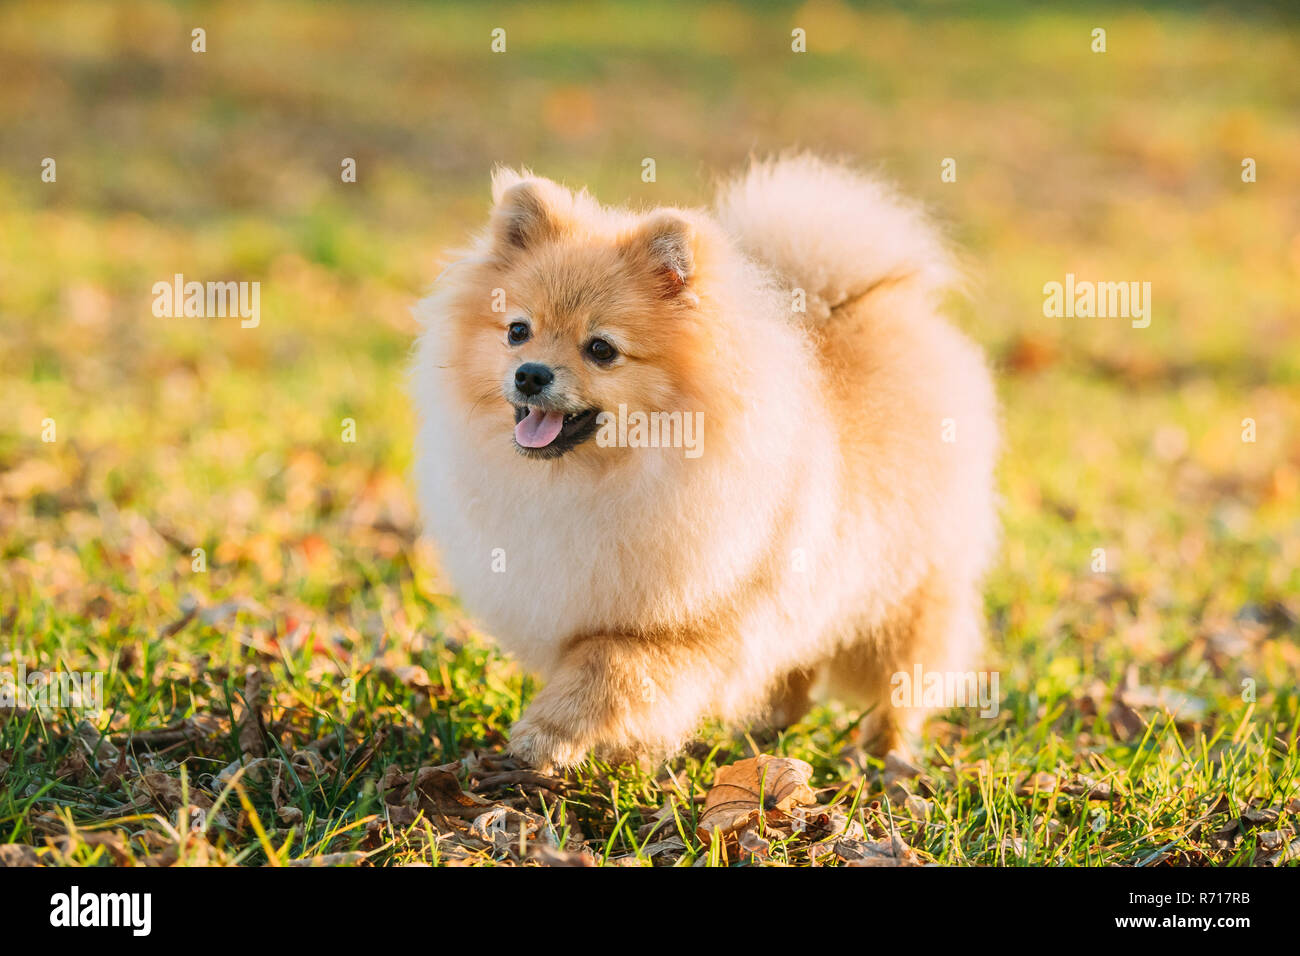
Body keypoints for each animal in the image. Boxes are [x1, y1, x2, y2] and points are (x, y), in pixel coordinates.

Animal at [410, 155, 998, 770]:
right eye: (518, 331)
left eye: (601, 349)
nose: (530, 374)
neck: (602, 476)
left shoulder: (688, 624)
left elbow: (606, 671)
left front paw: (547, 737)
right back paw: (770, 731)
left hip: (907, 588)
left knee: (901, 682)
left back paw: (888, 757)